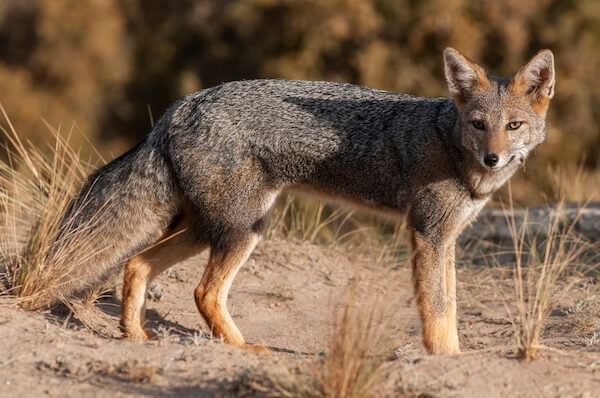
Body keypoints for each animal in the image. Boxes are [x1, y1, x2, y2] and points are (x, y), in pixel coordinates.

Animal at [54, 47, 556, 354]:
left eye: (513, 126)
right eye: (478, 124)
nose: (493, 158)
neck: (449, 143)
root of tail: (181, 105)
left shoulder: (446, 238)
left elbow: (448, 304)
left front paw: (452, 354)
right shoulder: (427, 233)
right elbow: (436, 308)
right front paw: (444, 359)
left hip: (204, 229)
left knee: (136, 264)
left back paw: (135, 334)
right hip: (243, 229)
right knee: (204, 292)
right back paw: (242, 348)